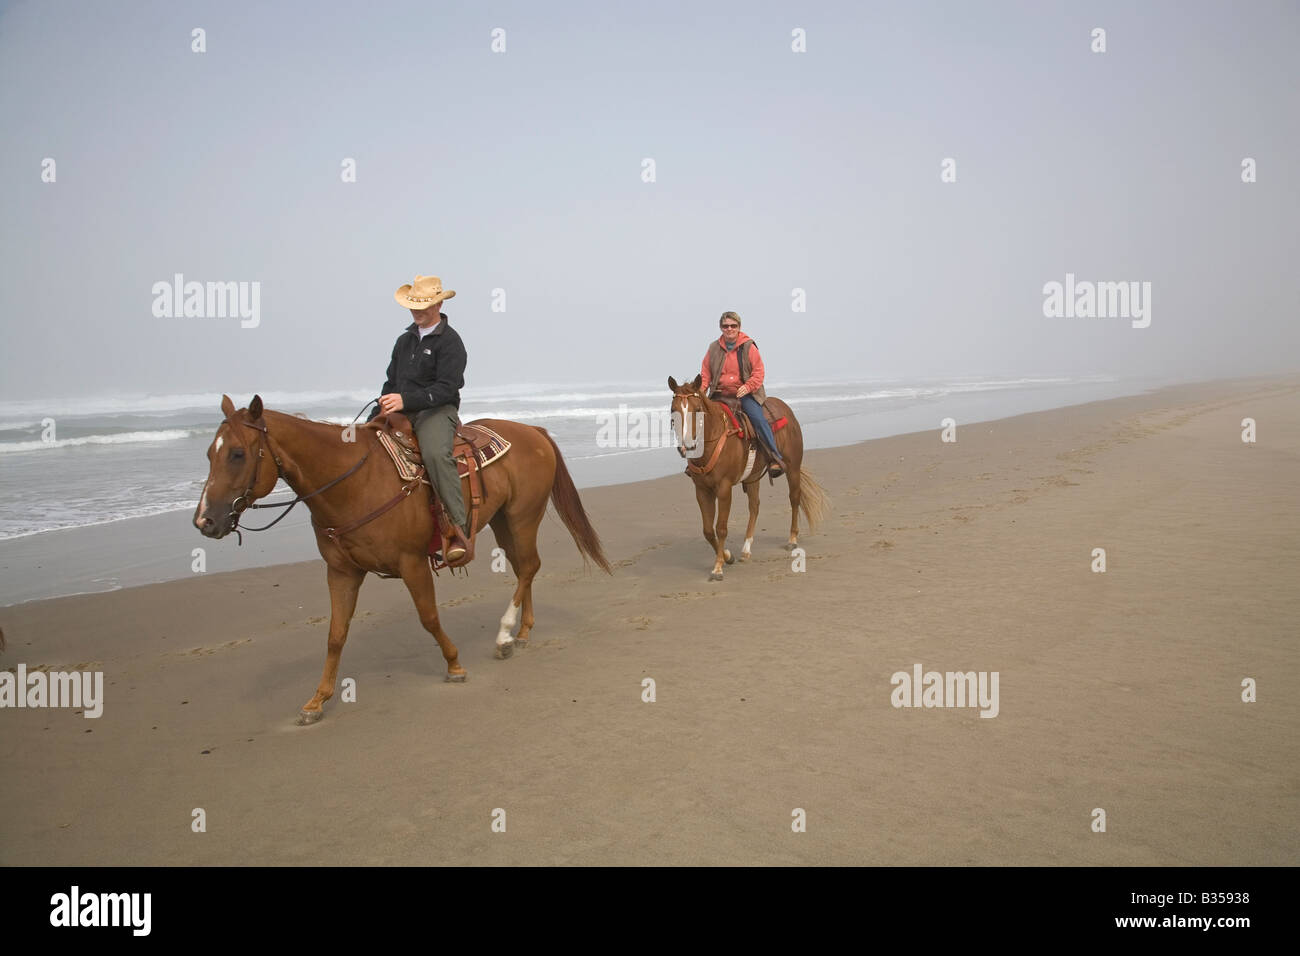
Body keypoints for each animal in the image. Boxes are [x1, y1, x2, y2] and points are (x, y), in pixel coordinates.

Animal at [195, 392, 611, 723]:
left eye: (237, 454)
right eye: (209, 453)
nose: (206, 520)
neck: (353, 482)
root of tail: (534, 432)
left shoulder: (411, 563)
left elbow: (428, 617)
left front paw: (454, 664)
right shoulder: (341, 572)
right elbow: (335, 634)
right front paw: (317, 700)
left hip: (523, 516)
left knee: (529, 567)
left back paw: (505, 635)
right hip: (503, 521)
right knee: (525, 568)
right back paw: (521, 632)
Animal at [670, 377, 832, 580]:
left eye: (698, 409)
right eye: (673, 410)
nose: (686, 445)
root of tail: (785, 408)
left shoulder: (724, 488)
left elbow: (721, 527)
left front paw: (718, 568)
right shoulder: (701, 490)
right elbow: (708, 530)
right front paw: (728, 556)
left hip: (793, 468)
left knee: (794, 498)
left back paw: (792, 539)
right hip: (752, 478)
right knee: (754, 506)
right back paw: (746, 549)